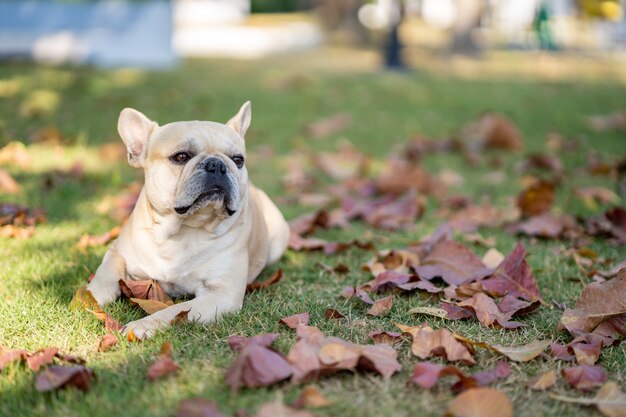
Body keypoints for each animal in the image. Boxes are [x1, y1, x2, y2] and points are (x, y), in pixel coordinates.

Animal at [86, 102, 290, 340]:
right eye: (181, 157)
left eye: (238, 160)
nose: (217, 164)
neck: (183, 230)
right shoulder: (117, 251)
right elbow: (104, 275)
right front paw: (88, 296)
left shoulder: (220, 294)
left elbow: (172, 310)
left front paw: (143, 325)